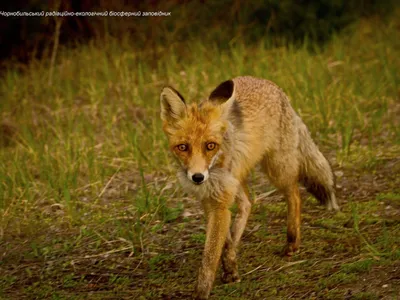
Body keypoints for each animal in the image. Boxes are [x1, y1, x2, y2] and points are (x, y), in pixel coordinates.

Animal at [159, 76, 338, 298]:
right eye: (183, 147)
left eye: (210, 146)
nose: (198, 177)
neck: (215, 167)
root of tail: (273, 85)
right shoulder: (211, 202)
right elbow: (223, 240)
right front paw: (230, 267)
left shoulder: (219, 202)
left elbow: (209, 258)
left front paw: (201, 292)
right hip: (240, 177)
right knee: (248, 204)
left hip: (277, 168)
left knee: (295, 195)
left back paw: (292, 241)